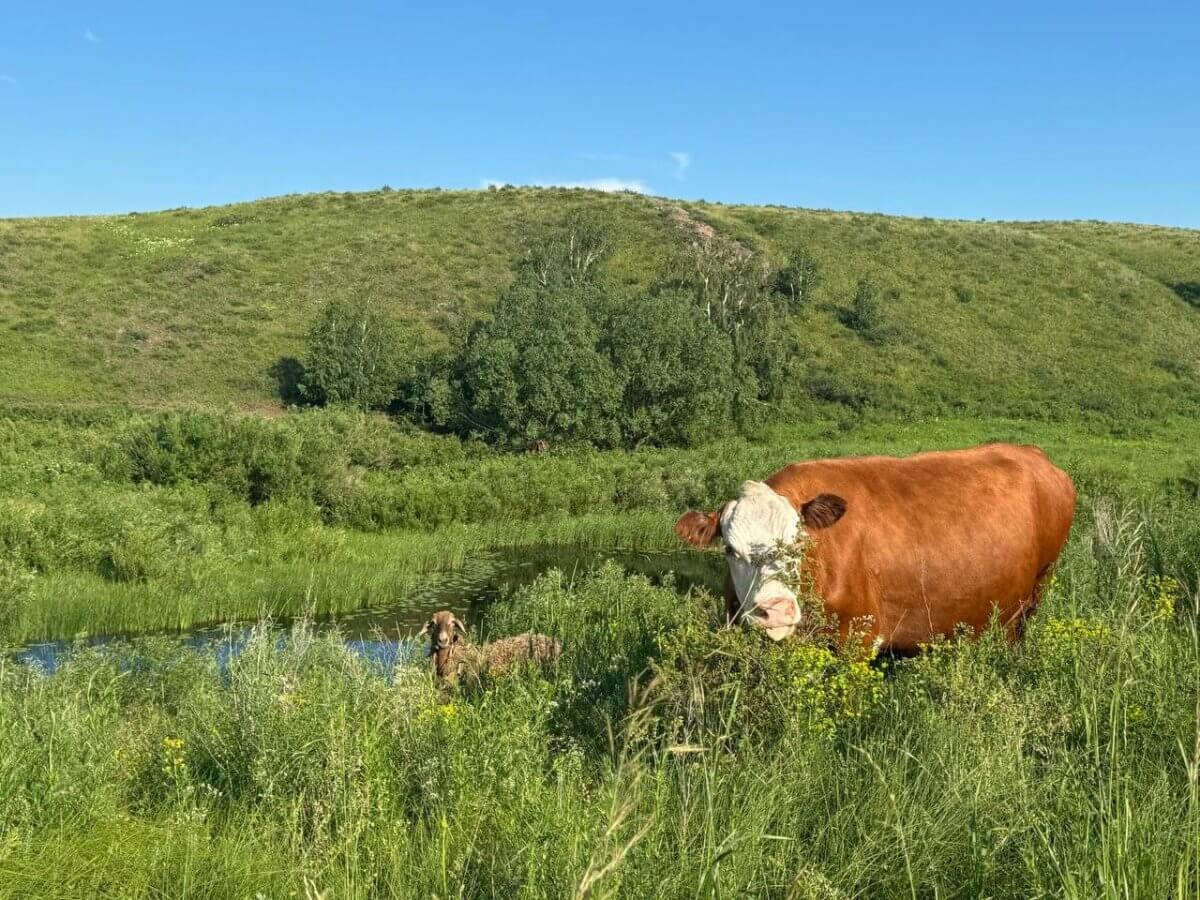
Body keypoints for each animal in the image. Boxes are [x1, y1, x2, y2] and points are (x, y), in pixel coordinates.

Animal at [676, 446, 1080, 652]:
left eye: (799, 542)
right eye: (730, 550)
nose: (775, 610)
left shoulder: (859, 637)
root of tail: (1031, 452)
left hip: (1035, 592)